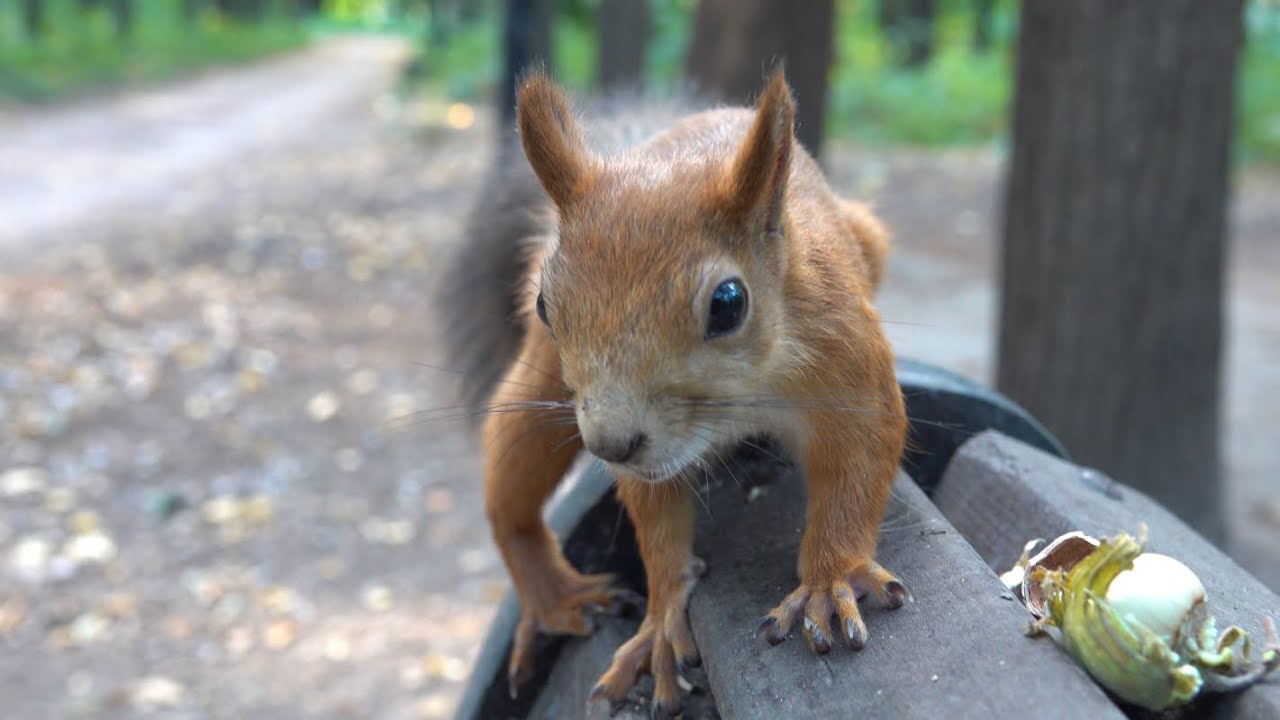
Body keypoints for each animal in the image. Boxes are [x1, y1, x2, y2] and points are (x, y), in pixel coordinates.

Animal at [442, 69, 910, 714]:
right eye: (544, 304)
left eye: (729, 303)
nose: (610, 446)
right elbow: (657, 526)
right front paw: (662, 621)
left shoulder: (844, 354)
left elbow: (860, 463)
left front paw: (829, 579)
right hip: (540, 387)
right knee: (511, 498)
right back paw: (552, 597)